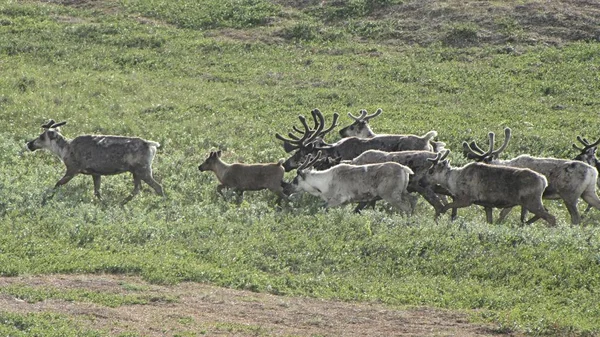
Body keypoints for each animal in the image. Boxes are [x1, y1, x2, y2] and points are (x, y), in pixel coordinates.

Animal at [27, 119, 164, 202]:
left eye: (41, 136)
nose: (29, 144)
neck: (64, 149)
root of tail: (151, 144)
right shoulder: (95, 173)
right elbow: (97, 192)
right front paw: (102, 202)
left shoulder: (72, 169)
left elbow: (57, 184)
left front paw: (48, 198)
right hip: (136, 172)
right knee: (137, 189)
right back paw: (122, 203)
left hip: (143, 170)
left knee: (158, 187)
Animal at [424, 150, 556, 226]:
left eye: (431, 171)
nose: (422, 181)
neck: (454, 179)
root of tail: (544, 181)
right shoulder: (487, 205)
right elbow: (489, 220)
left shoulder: (466, 200)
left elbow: (446, 206)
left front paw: (437, 218)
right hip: (533, 202)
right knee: (545, 213)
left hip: (531, 202)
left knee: (551, 217)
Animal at [464, 127, 600, 224]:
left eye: (482, 162)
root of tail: (592, 171)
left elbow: (508, 214)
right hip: (588, 193)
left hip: (570, 196)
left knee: (575, 218)